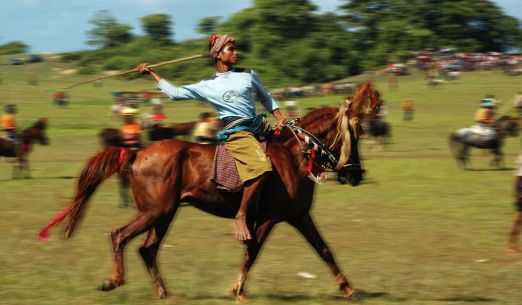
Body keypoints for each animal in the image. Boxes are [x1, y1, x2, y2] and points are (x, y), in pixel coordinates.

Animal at [40, 84, 380, 298]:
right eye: (354, 137)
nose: (356, 174)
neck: (294, 157)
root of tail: (137, 153)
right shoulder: (269, 219)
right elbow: (252, 251)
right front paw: (238, 289)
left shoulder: (298, 216)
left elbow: (324, 250)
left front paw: (349, 288)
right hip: (156, 211)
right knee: (119, 236)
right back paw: (114, 280)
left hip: (164, 214)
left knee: (147, 249)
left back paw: (164, 293)